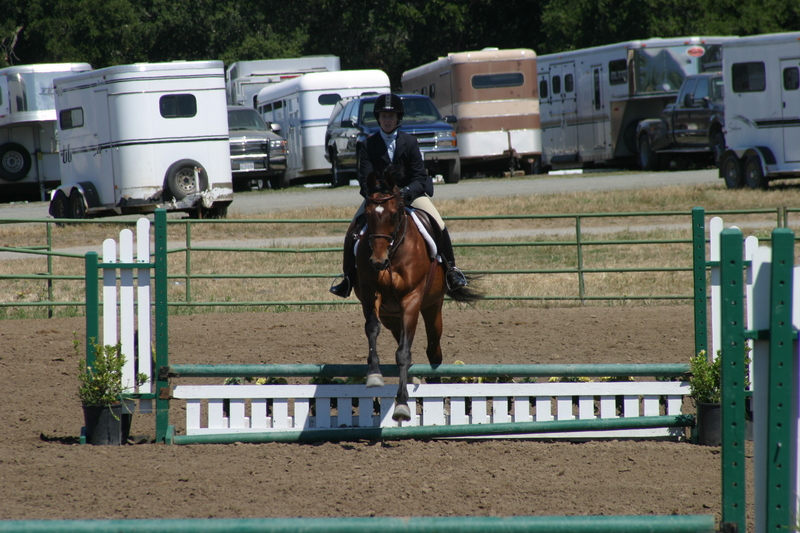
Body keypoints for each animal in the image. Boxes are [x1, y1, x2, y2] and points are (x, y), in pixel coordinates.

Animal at [353, 165, 483, 422]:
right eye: (369, 216)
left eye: (395, 215)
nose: (377, 262)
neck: (393, 253)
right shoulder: (371, 293)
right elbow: (373, 330)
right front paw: (374, 375)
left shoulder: (411, 299)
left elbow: (404, 353)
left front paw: (402, 405)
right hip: (392, 315)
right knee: (399, 336)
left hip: (432, 308)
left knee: (433, 351)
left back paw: (441, 400)